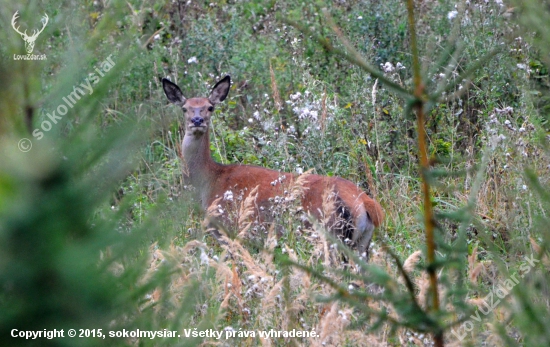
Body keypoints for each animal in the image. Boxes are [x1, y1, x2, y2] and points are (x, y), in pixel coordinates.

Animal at [162, 77, 386, 260]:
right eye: (185, 108)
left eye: (210, 107)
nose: (197, 120)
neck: (208, 181)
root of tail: (367, 203)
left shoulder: (228, 229)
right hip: (362, 243)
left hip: (331, 235)